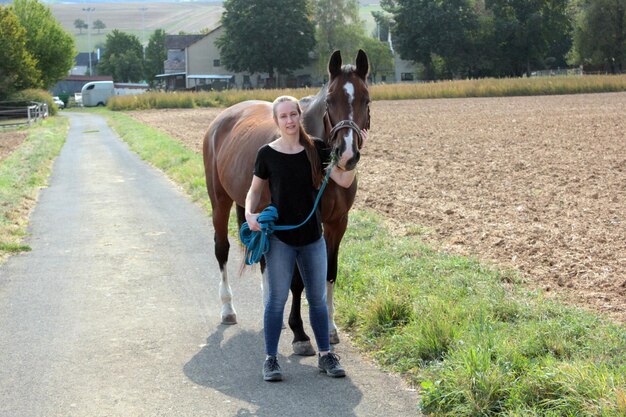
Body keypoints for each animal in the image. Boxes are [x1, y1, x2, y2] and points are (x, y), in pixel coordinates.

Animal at [202, 48, 368, 354]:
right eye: (330, 100)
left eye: (366, 99)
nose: (347, 154)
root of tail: (223, 118)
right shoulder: (301, 224)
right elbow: (298, 281)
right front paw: (300, 334)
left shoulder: (337, 223)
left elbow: (329, 271)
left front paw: (330, 328)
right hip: (220, 201)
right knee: (222, 249)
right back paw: (228, 309)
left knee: (262, 257)